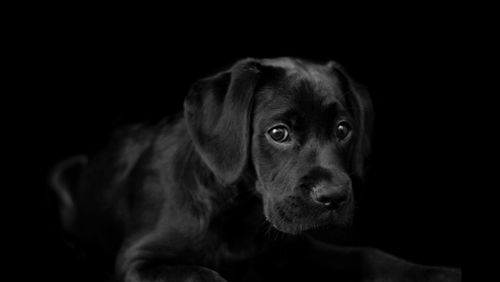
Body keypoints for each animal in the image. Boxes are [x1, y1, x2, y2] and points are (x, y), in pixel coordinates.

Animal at [50, 57, 460, 282]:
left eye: (344, 130)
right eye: (278, 133)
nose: (334, 197)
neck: (242, 214)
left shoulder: (295, 250)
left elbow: (368, 254)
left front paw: (437, 272)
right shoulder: (138, 258)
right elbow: (197, 273)